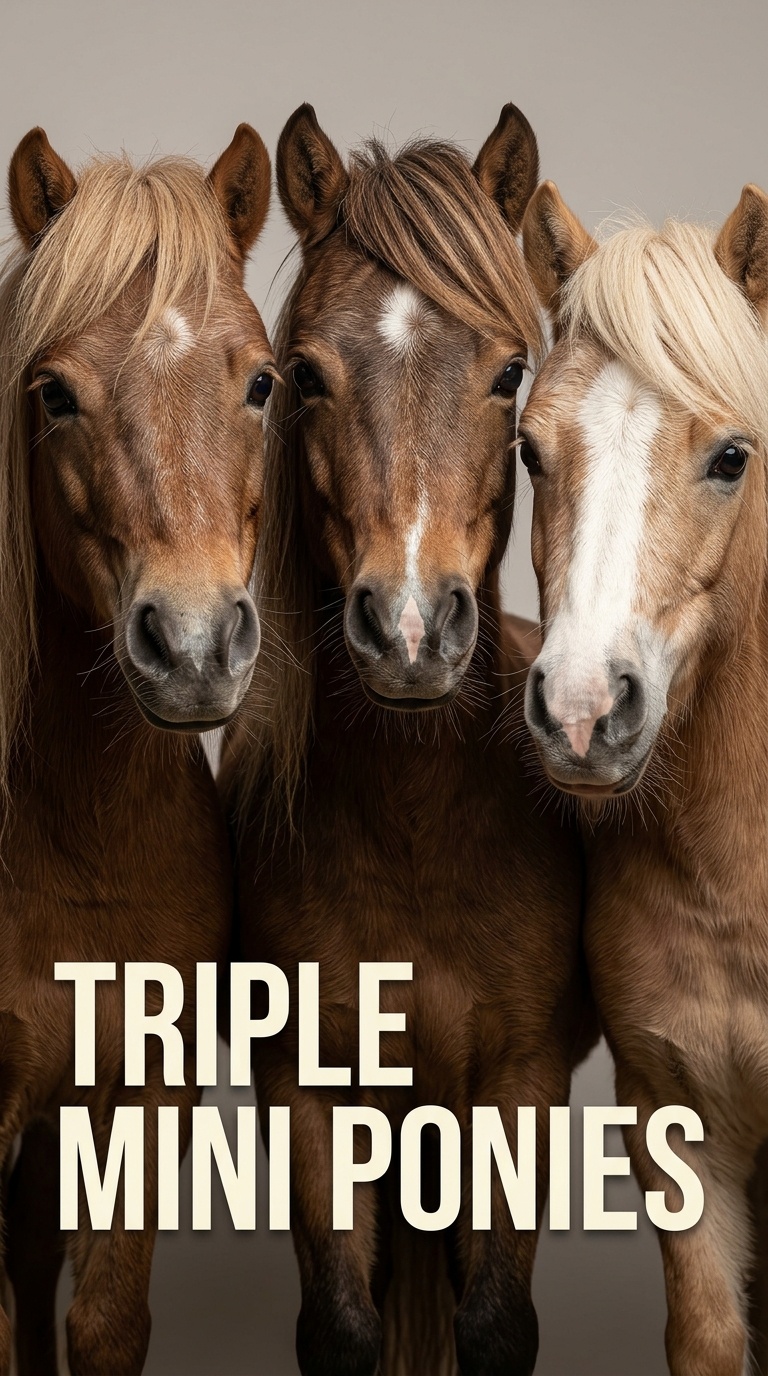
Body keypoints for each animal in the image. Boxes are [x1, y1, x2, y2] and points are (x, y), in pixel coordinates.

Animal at [222, 103, 594, 1376]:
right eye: (303, 375)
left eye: (509, 371)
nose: (413, 627)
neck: (418, 827)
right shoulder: (310, 1089)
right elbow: (343, 1323)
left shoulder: (517, 1082)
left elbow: (494, 1324)